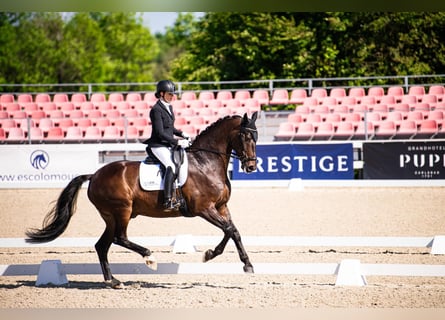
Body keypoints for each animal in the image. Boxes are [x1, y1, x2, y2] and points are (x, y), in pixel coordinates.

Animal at [26, 112, 258, 288]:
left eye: (255, 137)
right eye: (245, 136)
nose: (251, 166)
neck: (205, 162)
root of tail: (94, 175)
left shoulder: (221, 206)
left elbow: (233, 230)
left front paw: (231, 259)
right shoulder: (204, 208)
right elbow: (229, 229)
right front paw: (226, 259)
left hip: (111, 216)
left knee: (102, 245)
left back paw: (113, 281)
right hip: (122, 211)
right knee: (119, 238)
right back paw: (149, 257)